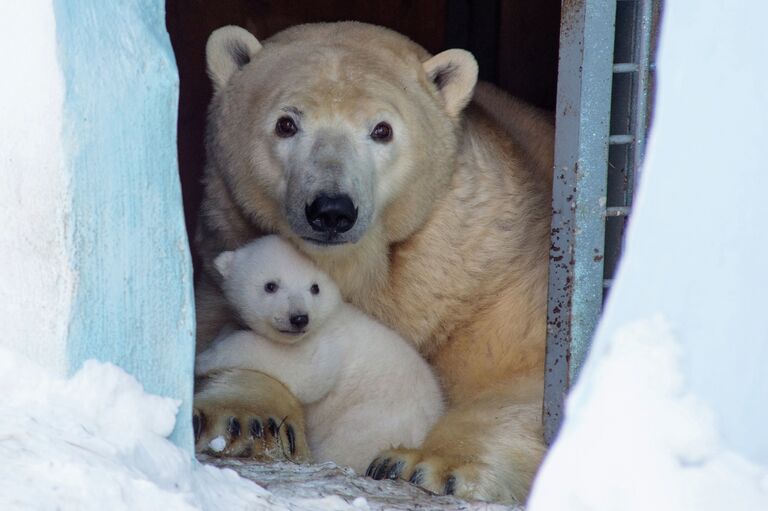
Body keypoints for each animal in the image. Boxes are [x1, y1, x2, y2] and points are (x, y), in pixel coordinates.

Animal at [192, 22, 552, 506]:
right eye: (286, 123)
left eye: (382, 130)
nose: (331, 209)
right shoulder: (223, 241)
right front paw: (243, 421)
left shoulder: (485, 267)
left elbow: (522, 374)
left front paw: (426, 464)